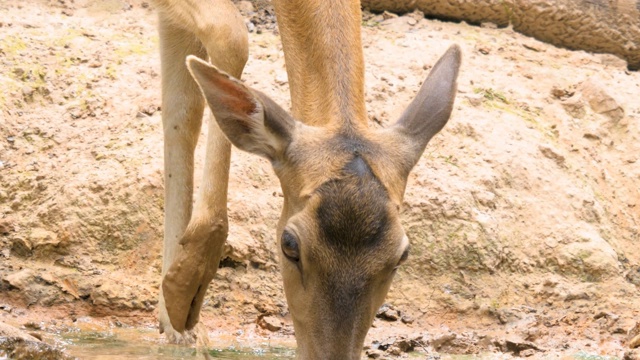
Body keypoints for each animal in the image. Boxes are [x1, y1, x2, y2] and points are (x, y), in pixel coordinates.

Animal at [150, 0, 460, 358]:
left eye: (402, 255)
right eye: (289, 245)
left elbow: (181, 111)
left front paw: (176, 319)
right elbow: (231, 35)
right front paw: (183, 295)